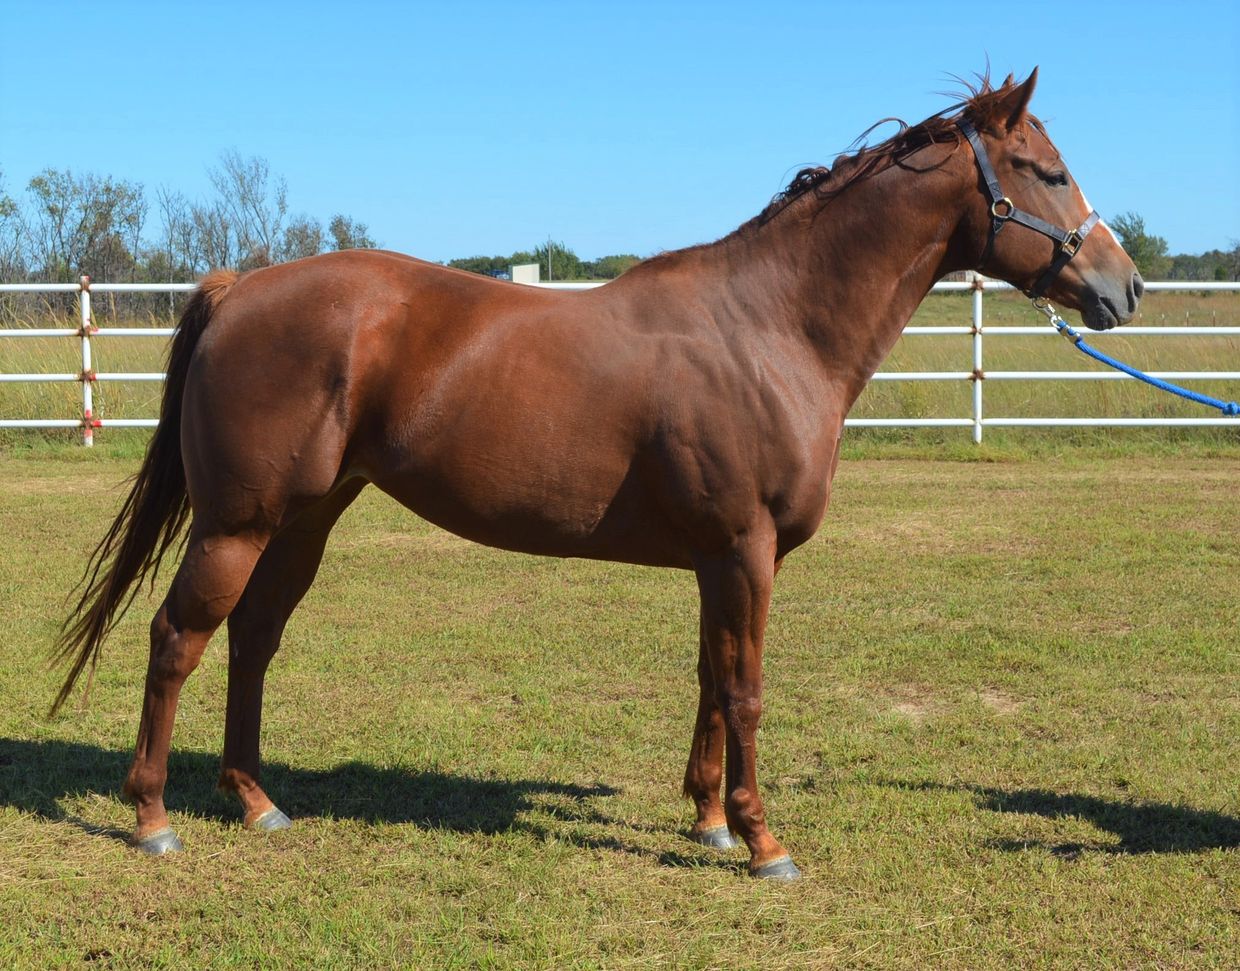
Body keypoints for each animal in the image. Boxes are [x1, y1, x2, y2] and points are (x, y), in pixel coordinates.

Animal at [58, 72, 1140, 877]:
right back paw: (153, 816)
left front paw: (708, 819)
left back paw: (255, 799)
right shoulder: (744, 547)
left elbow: (711, 676)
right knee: (178, 638)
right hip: (236, 523)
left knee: (253, 639)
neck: (771, 329)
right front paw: (764, 842)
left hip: (305, 519)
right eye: (1046, 170)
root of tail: (240, 286)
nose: (1122, 287)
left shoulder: (722, 557)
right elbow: (747, 688)